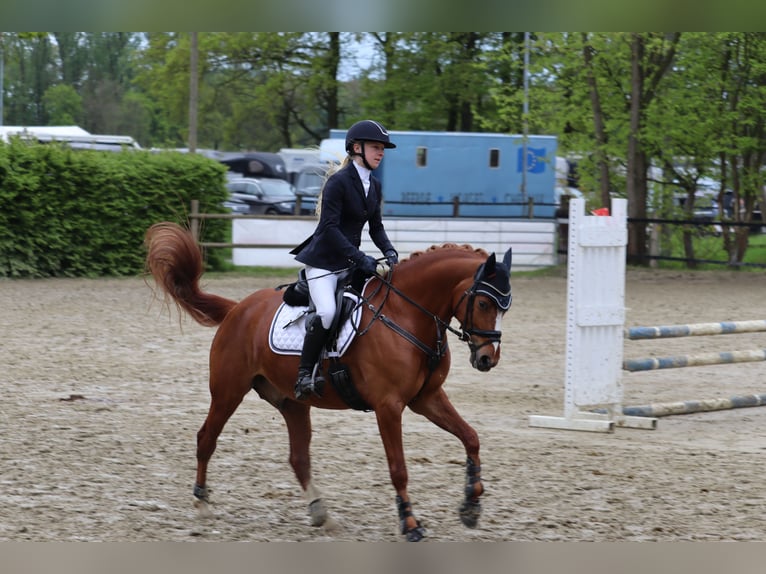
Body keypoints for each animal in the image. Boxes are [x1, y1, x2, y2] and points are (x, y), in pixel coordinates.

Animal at [146, 223, 516, 544]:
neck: (406, 314)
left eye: (506, 308)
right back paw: (201, 503)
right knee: (206, 438)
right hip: (228, 391)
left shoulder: (427, 398)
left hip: (292, 403)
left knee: (298, 458)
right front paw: (410, 524)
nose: (488, 359)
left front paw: (471, 506)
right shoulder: (388, 406)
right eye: (484, 303)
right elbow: (399, 468)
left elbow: (471, 437)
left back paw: (321, 513)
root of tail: (238, 309)